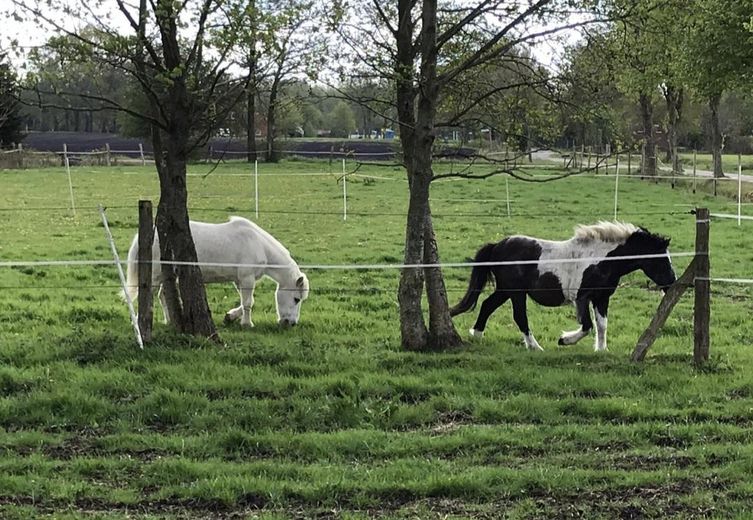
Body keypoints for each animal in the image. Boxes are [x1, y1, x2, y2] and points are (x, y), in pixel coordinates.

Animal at [125, 216, 309, 327]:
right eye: (296, 299)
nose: (291, 323)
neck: (258, 244)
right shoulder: (247, 278)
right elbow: (248, 303)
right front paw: (247, 324)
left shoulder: (239, 280)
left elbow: (244, 302)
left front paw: (231, 317)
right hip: (156, 274)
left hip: (168, 274)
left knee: (163, 296)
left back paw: (169, 321)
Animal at [450, 221, 676, 351]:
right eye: (661, 260)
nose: (671, 284)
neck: (601, 260)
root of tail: (497, 245)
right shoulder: (582, 297)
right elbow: (587, 326)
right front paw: (564, 340)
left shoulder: (602, 297)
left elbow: (602, 325)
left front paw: (602, 351)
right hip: (516, 293)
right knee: (519, 317)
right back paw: (535, 347)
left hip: (505, 290)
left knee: (487, 305)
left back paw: (477, 335)